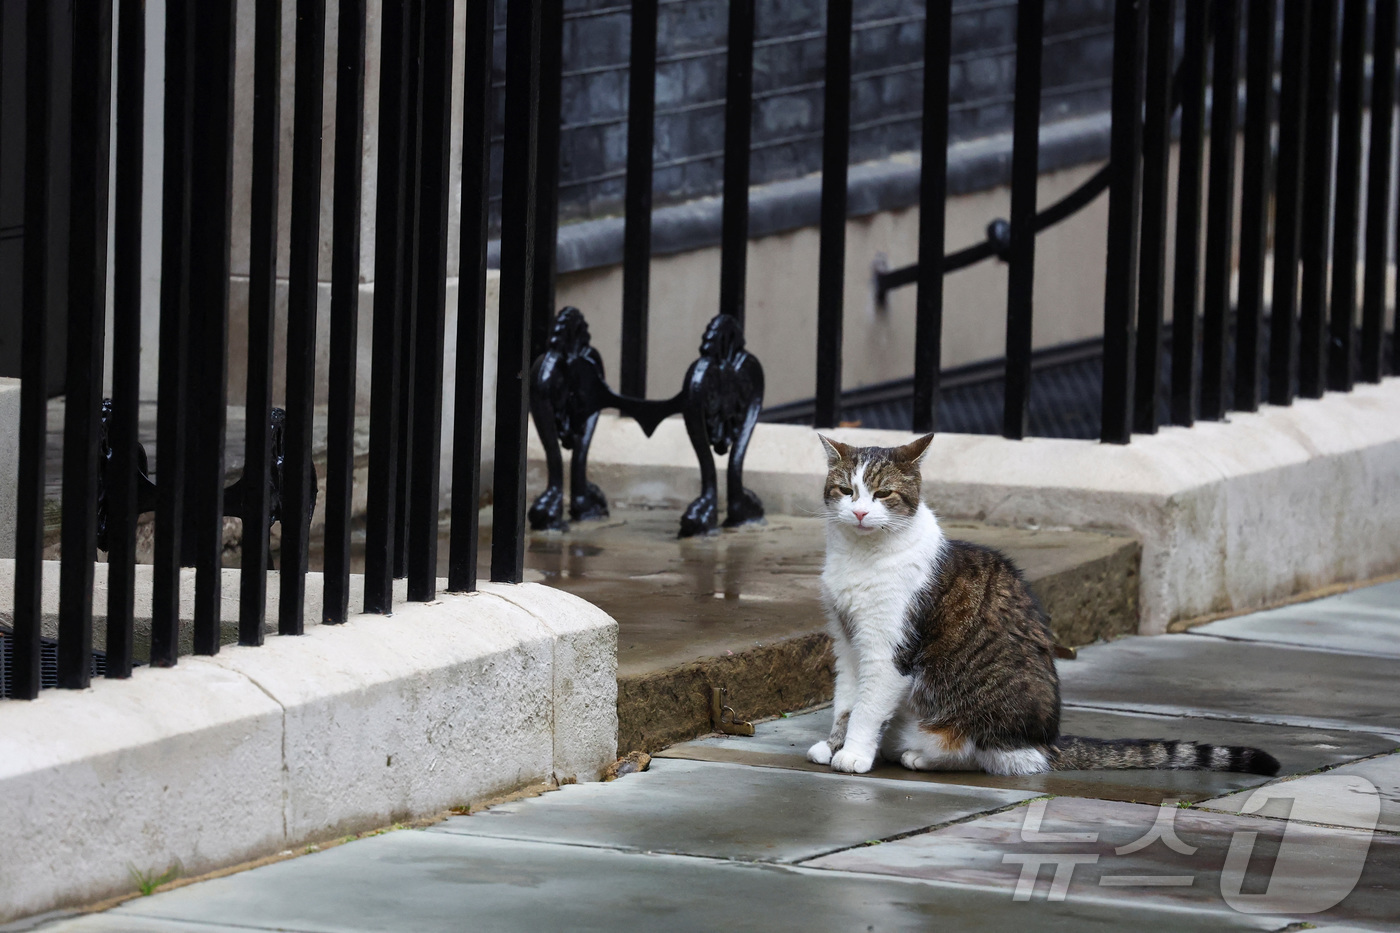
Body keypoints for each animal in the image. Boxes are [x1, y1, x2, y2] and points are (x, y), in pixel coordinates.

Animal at [812, 431, 1282, 773]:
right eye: (846, 490)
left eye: (883, 494)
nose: (860, 513)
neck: (860, 555)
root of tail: (1048, 741)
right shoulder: (848, 642)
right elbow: (846, 701)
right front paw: (833, 745)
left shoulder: (888, 648)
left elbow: (868, 707)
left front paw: (854, 754)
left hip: (972, 717)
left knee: (987, 754)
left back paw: (920, 754)